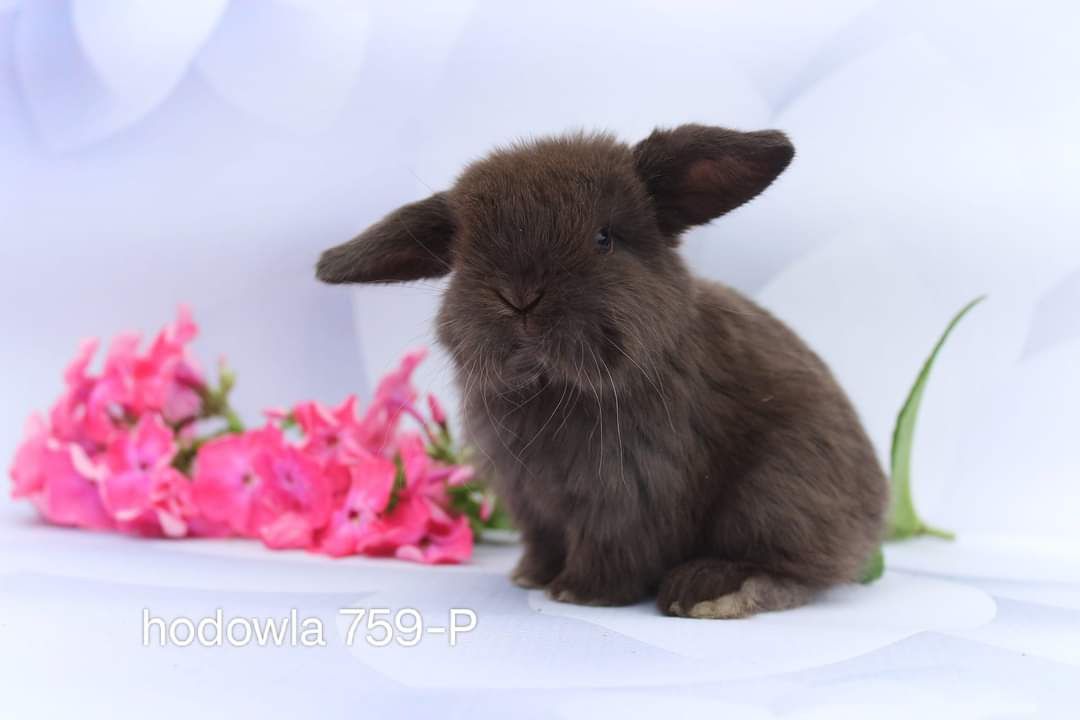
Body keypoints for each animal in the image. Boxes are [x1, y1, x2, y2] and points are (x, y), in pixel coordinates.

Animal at [315, 125, 889, 621]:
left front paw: (580, 593)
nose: (520, 296)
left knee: (795, 570)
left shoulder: (628, 493)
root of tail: (875, 514)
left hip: (774, 493)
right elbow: (545, 542)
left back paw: (706, 590)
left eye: (604, 239)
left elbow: (612, 548)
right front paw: (529, 577)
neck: (553, 387)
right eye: (465, 254)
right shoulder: (530, 500)